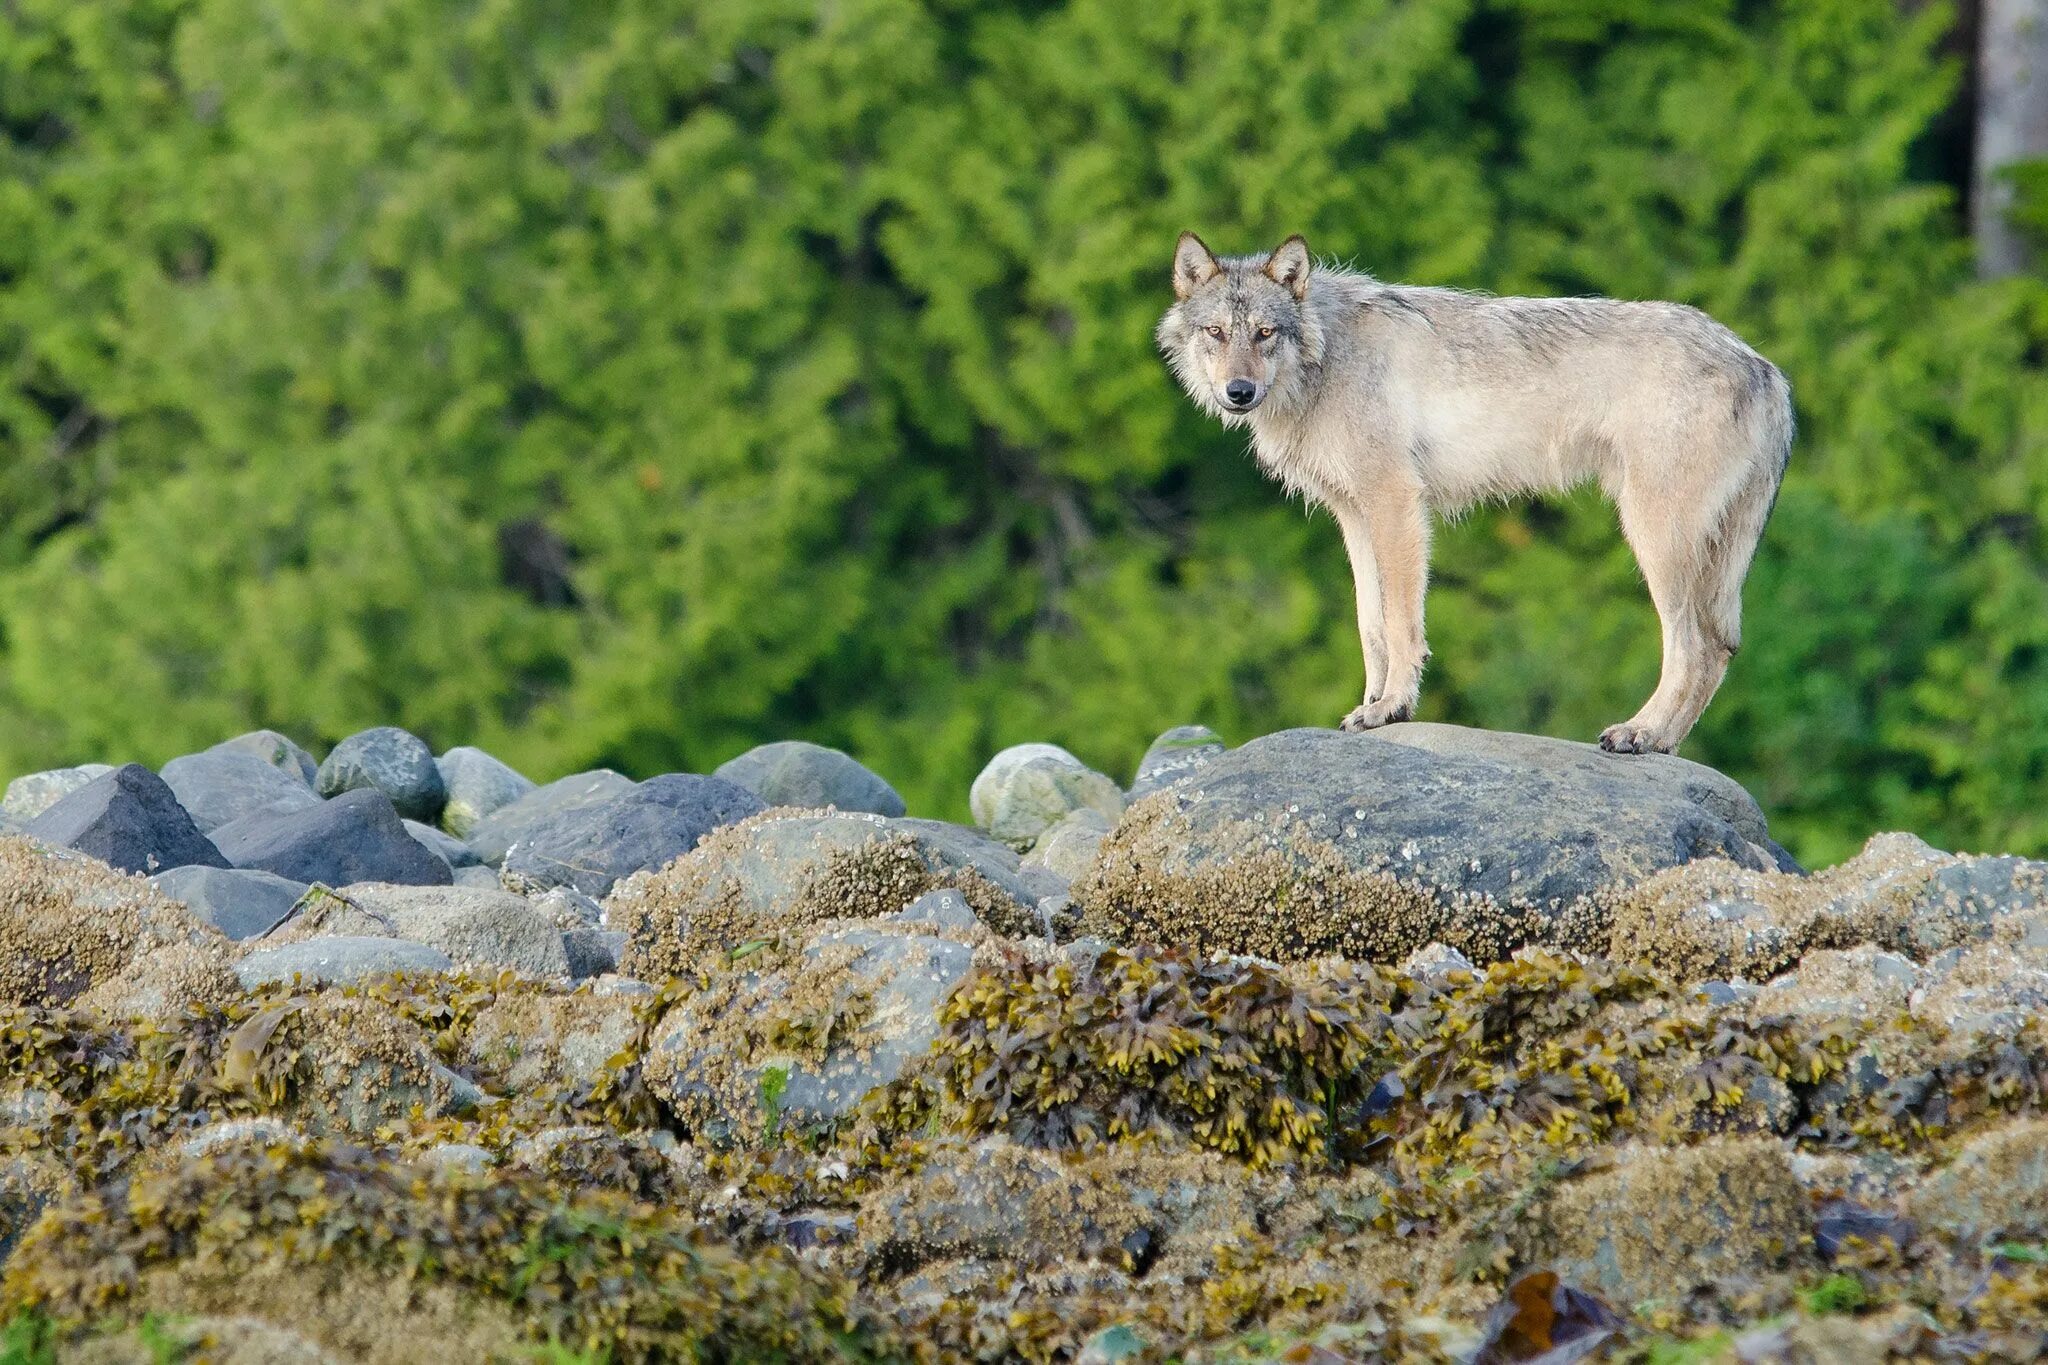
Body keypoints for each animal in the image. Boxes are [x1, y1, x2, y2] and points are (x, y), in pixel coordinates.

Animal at [1155, 228, 1794, 753]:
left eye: (1264, 334)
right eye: (1217, 334)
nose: (1238, 392)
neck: (1327, 355)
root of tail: (1764, 367)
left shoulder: (1396, 503)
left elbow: (1400, 622)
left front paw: (1392, 707)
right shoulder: (1354, 517)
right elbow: (1370, 624)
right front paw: (1368, 706)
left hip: (1653, 538)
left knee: (1694, 649)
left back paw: (1639, 732)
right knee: (1718, 649)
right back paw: (1663, 743)